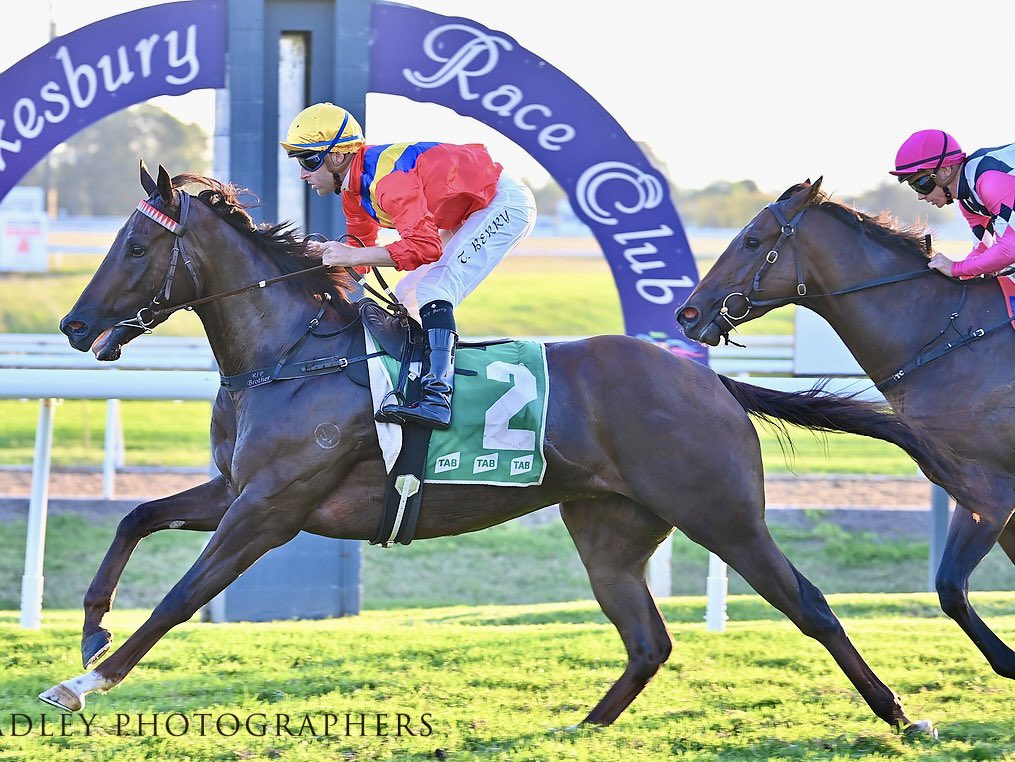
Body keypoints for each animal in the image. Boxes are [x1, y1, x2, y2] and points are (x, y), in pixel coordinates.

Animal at [45, 165, 974, 734]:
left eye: (135, 246)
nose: (74, 326)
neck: (291, 354)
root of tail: (705, 381)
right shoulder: (233, 487)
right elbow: (135, 517)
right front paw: (88, 632)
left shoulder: (271, 508)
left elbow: (180, 598)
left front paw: (83, 682)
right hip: (608, 528)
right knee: (648, 642)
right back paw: (579, 729)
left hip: (724, 516)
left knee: (809, 606)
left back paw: (904, 716)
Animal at [673, 181, 1015, 689]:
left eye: (752, 241)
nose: (688, 313)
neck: (949, 335)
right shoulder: (979, 494)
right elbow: (953, 589)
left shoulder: (992, 494)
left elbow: (951, 588)